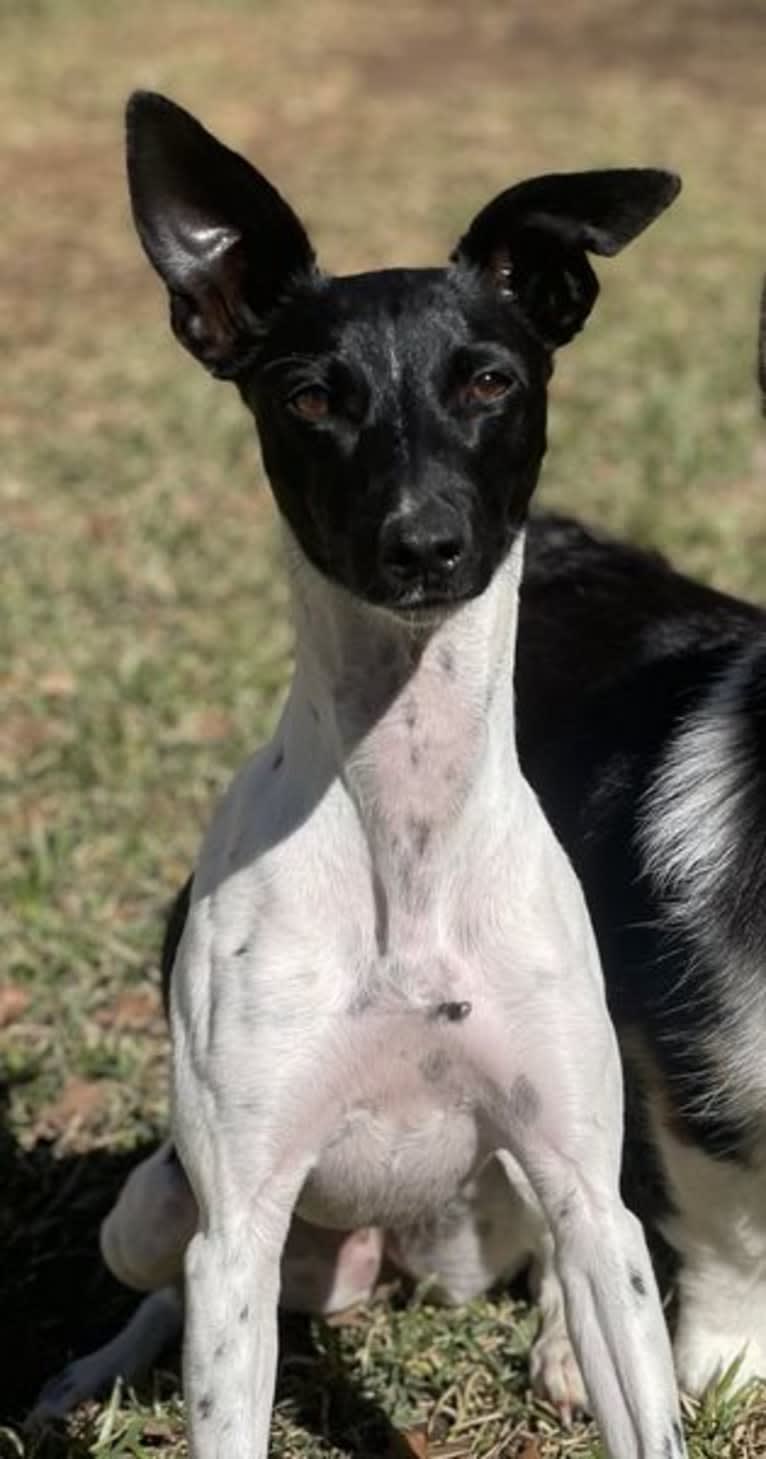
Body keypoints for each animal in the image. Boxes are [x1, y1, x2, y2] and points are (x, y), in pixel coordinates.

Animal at [32, 91, 682, 1459]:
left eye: (489, 379)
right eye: (310, 399)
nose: (422, 543)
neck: (407, 824)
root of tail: (392, 1261)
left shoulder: (580, 1178)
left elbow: (635, 1368)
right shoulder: (238, 1223)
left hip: (530, 1203)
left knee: (569, 1258)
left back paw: (554, 1340)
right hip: (159, 1212)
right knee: (158, 1283)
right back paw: (88, 1371)